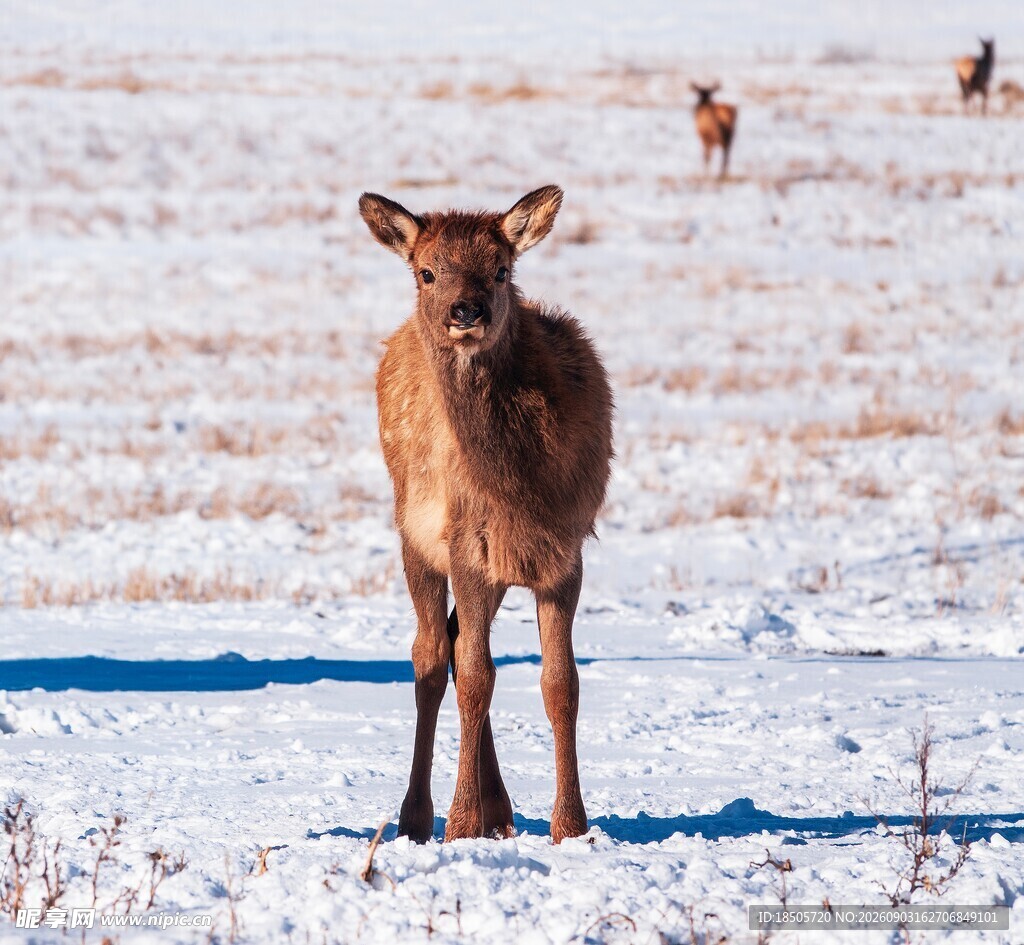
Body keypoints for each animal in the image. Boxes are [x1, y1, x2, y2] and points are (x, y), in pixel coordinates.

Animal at [358, 185, 613, 845]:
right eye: (426, 272)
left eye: (501, 269)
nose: (465, 311)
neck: (521, 486)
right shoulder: (466, 545)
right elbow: (477, 676)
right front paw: (460, 824)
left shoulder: (563, 553)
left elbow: (560, 683)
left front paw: (571, 826)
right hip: (416, 537)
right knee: (429, 654)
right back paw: (419, 816)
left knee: (451, 643)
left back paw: (499, 811)